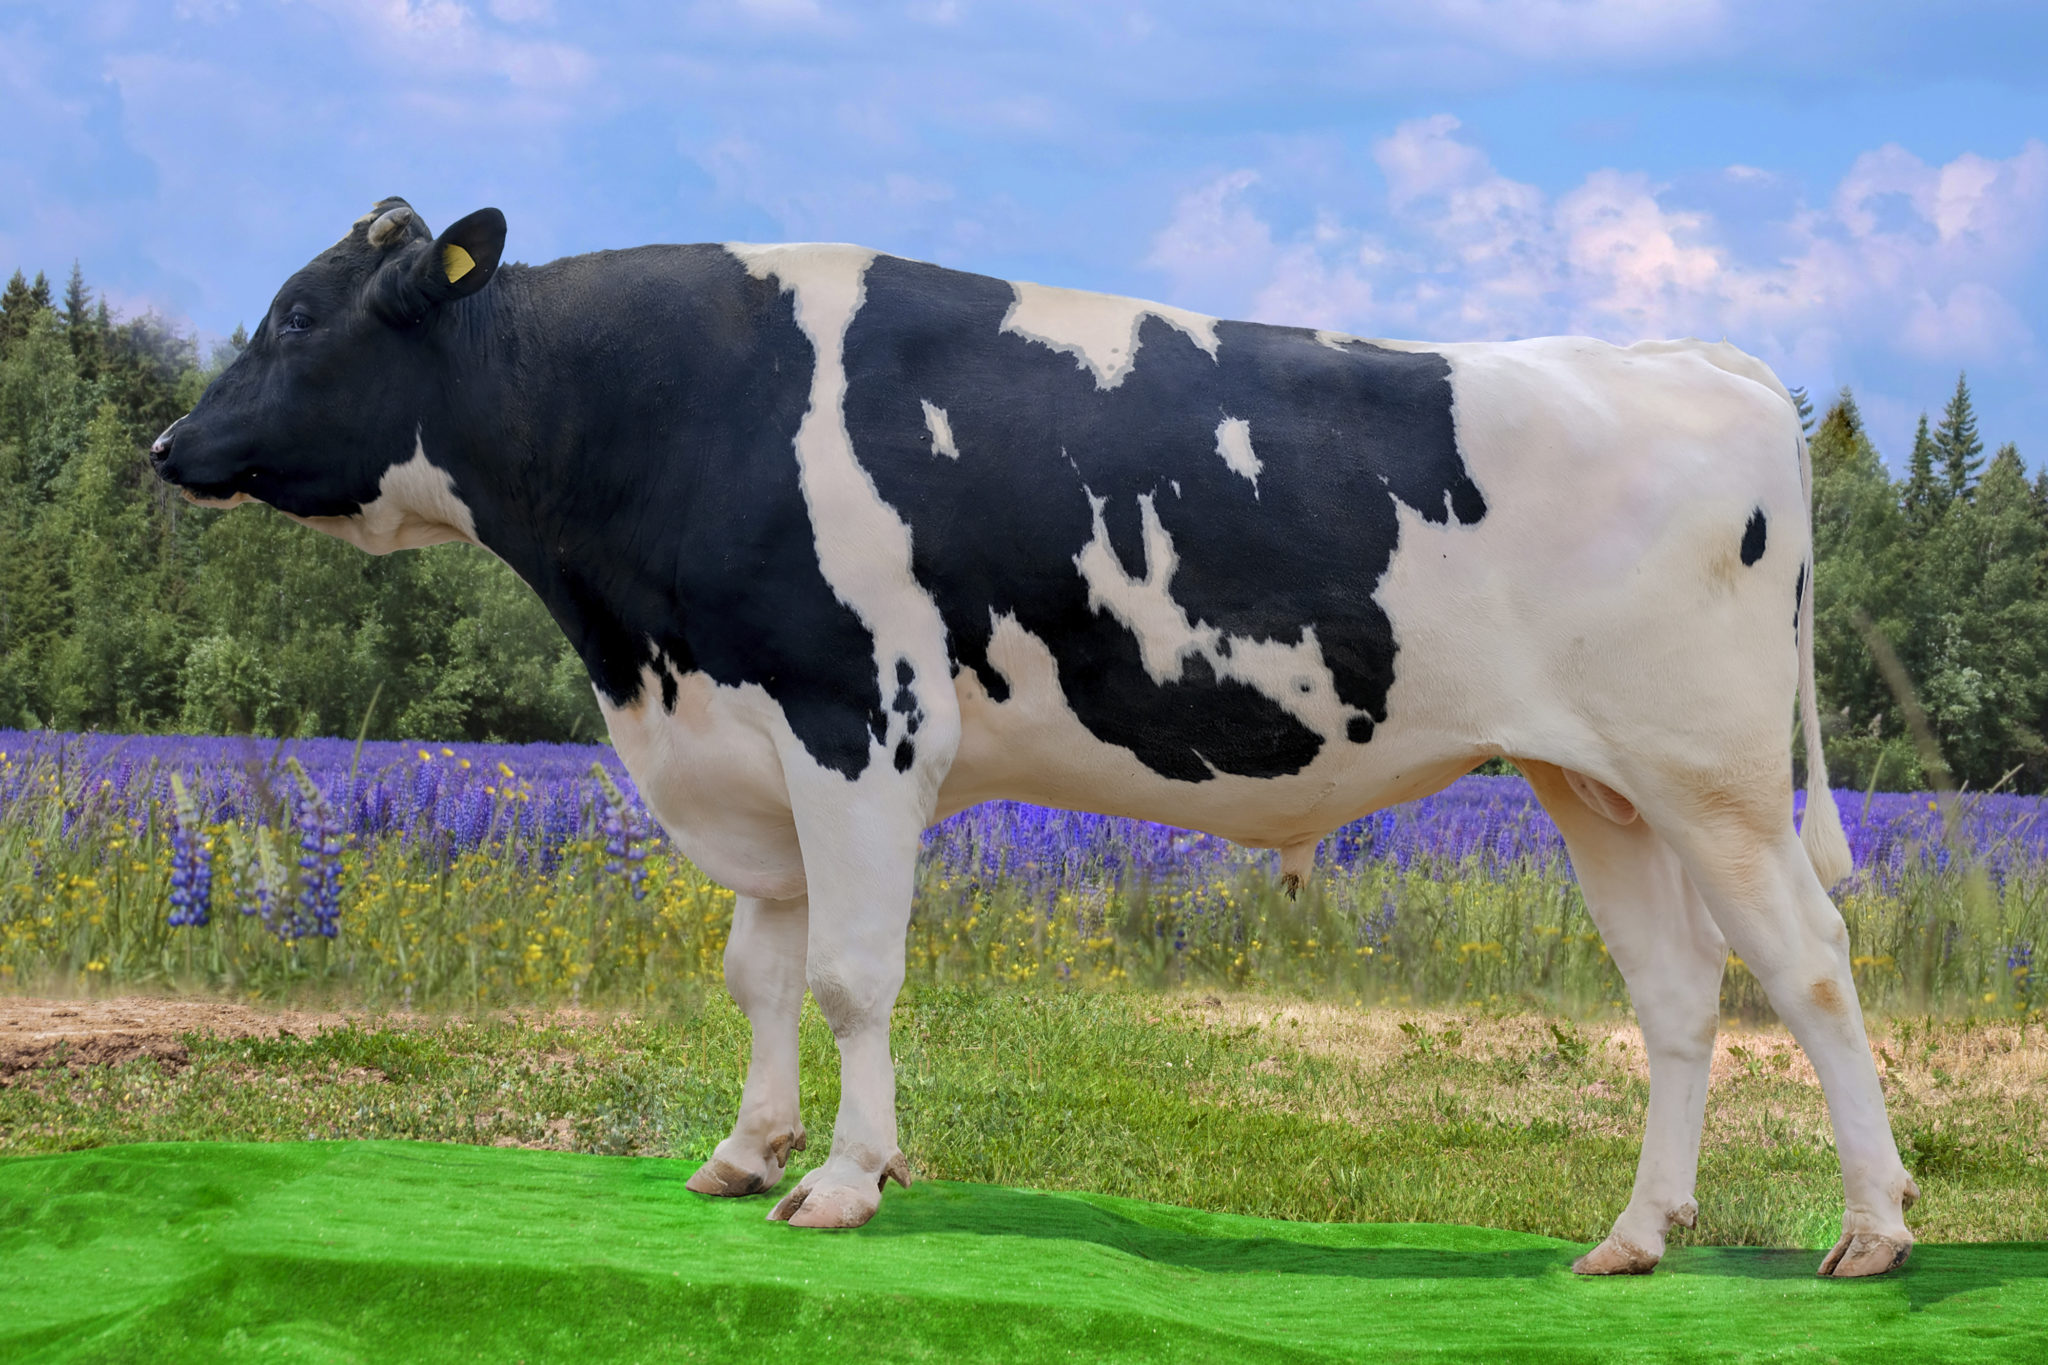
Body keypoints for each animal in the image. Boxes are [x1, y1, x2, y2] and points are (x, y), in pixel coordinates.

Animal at [151, 198, 1918, 1278]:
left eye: (298, 316)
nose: (168, 444)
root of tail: (1695, 356)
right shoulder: (749, 734)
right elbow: (760, 970)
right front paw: (743, 1149)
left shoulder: (860, 719)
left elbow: (852, 975)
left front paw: (844, 1181)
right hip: (1595, 780)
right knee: (1681, 995)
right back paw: (1637, 1234)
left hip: (1715, 778)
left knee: (1816, 967)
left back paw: (1876, 1228)